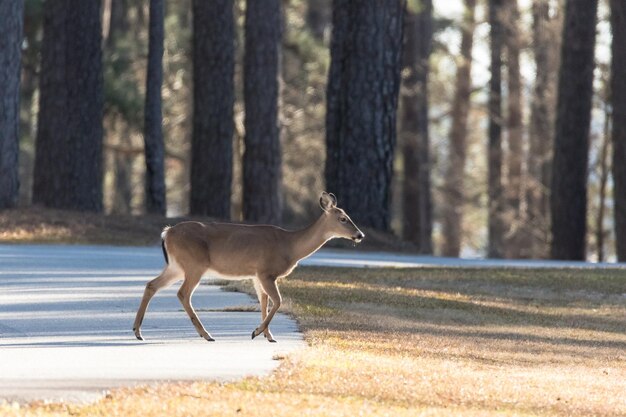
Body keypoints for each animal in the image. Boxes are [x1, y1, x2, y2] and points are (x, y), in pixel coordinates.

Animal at [134, 192, 364, 342]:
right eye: (343, 218)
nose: (360, 235)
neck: (290, 246)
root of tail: (167, 232)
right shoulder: (266, 272)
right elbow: (277, 301)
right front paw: (257, 332)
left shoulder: (256, 275)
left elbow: (264, 302)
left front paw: (268, 335)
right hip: (194, 264)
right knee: (183, 293)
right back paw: (206, 334)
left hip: (176, 266)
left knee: (151, 285)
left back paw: (137, 331)